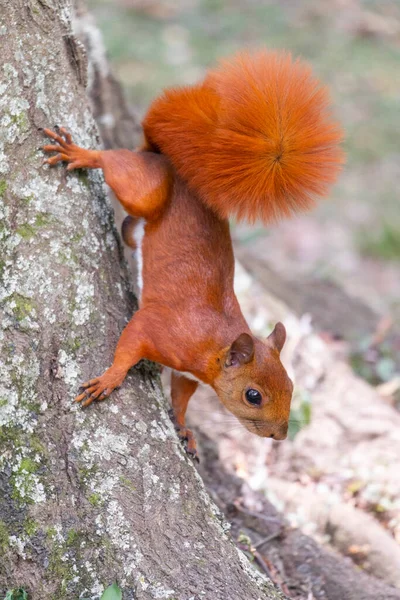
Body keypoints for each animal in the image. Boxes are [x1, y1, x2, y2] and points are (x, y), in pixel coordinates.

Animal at [43, 50, 344, 460]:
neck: (214, 346)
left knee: (131, 225)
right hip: (147, 190)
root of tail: (182, 169)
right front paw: (110, 378)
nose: (280, 436)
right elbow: (130, 344)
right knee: (118, 166)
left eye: (291, 386)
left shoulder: (187, 375)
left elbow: (181, 397)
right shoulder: (159, 329)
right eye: (253, 396)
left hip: (140, 222)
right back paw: (82, 154)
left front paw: (184, 428)